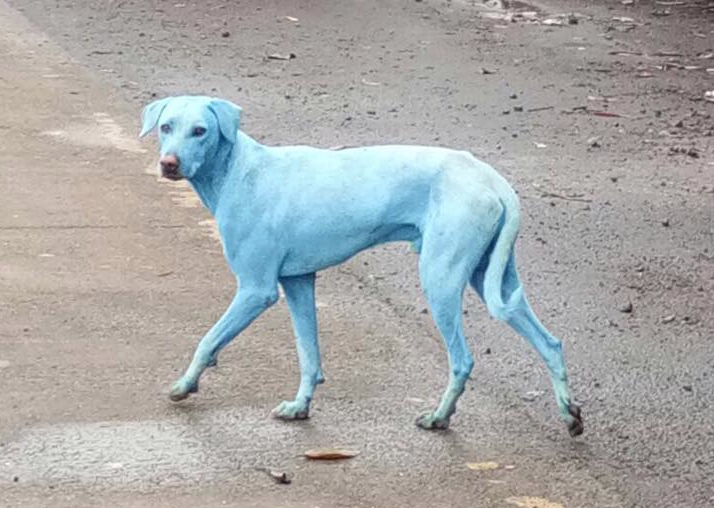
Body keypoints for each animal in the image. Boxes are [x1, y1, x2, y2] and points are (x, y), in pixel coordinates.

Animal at [136, 95, 580, 436]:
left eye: (200, 131)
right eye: (166, 127)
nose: (169, 164)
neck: (238, 171)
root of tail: (490, 177)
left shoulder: (255, 290)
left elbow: (208, 339)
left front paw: (185, 385)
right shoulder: (298, 283)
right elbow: (309, 356)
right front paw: (300, 406)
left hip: (441, 279)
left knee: (462, 359)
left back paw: (439, 417)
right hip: (492, 278)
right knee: (549, 342)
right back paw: (570, 414)